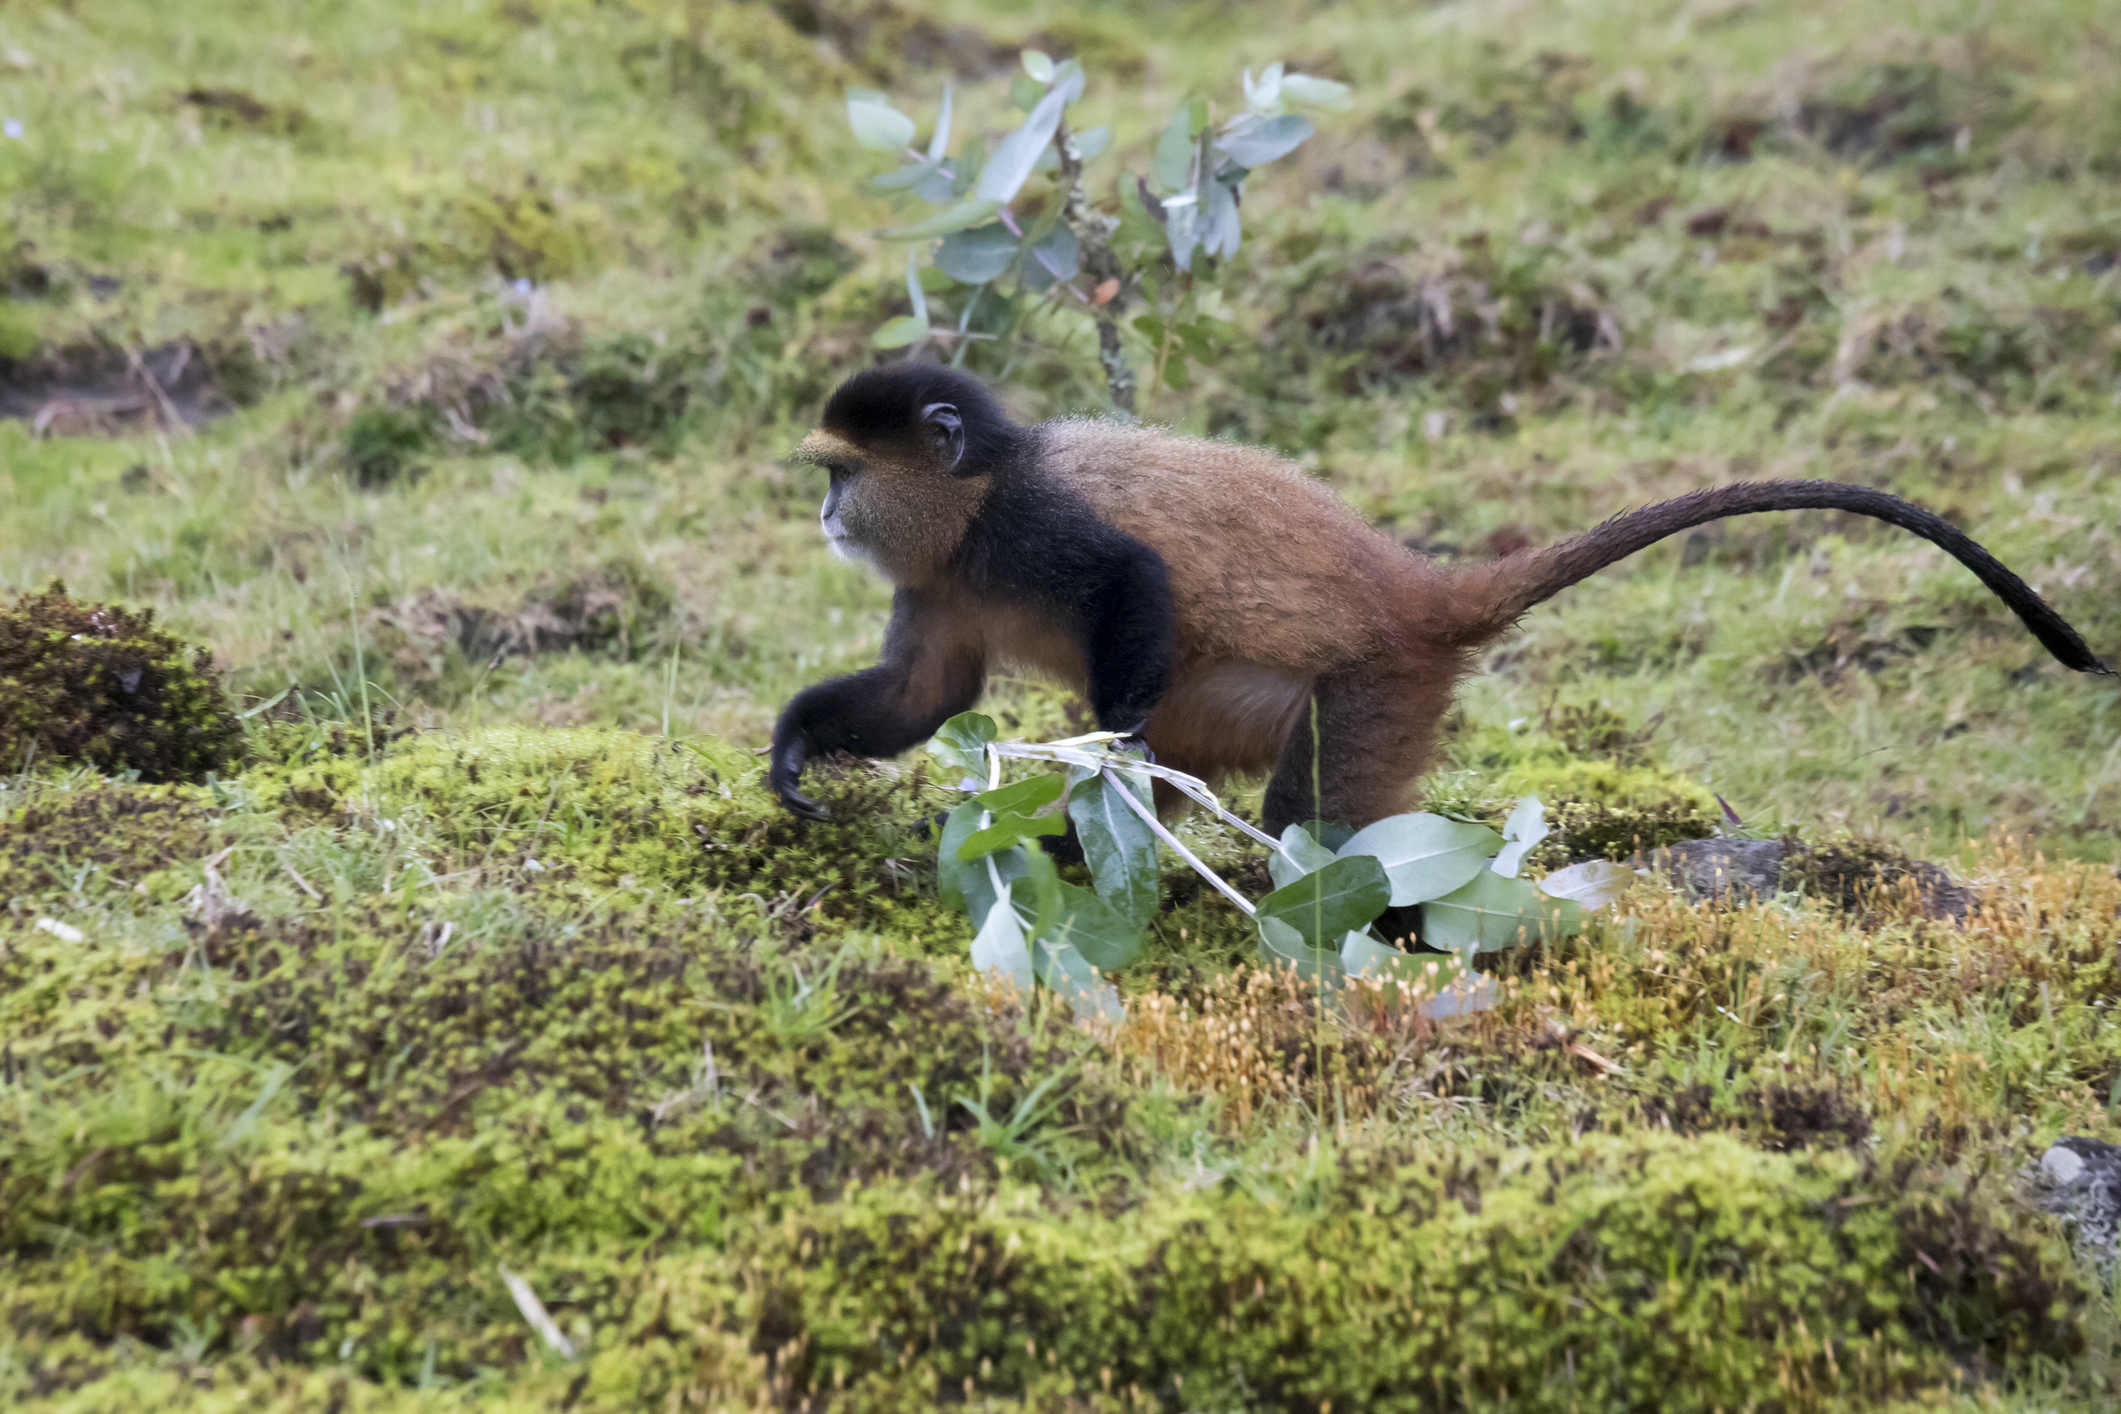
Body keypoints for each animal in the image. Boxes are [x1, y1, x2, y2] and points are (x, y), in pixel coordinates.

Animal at [769, 363, 2110, 836]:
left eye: (841, 473)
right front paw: (791, 751)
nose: (827, 517)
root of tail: (1413, 591)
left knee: (1315, 818)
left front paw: (1106, 777)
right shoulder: (941, 584)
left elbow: (1133, 583)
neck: (973, 500)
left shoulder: (1031, 529)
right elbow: (921, 694)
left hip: (1375, 690)